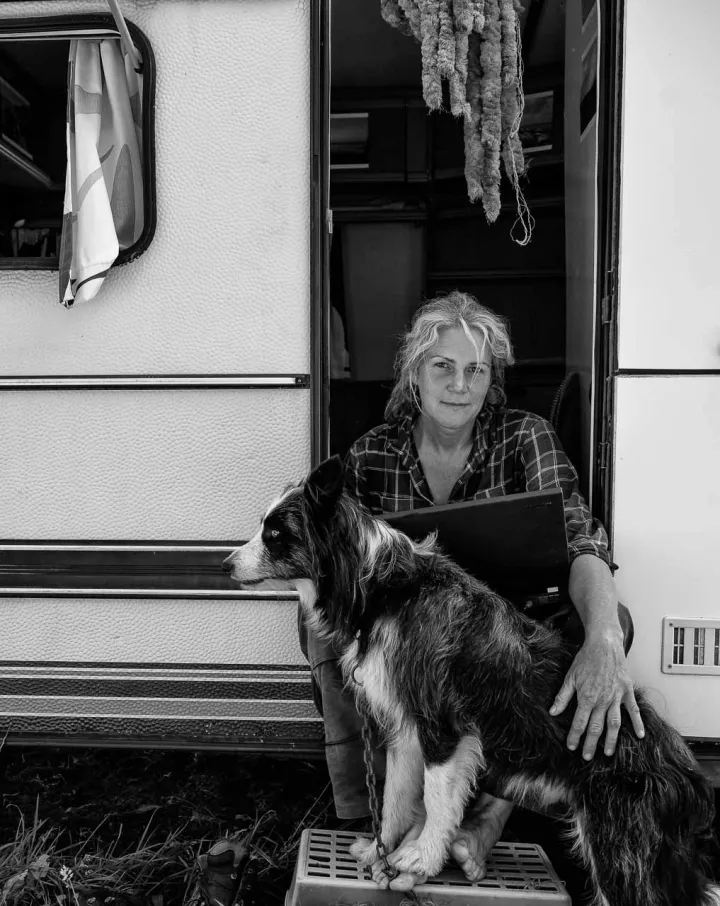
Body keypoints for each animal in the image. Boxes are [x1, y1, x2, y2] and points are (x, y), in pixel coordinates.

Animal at [225, 460, 720, 904]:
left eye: (276, 534)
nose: (226, 563)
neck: (384, 589)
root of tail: (687, 772)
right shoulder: (405, 727)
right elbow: (396, 795)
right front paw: (381, 851)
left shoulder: (442, 724)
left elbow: (436, 797)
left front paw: (421, 859)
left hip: (621, 848)